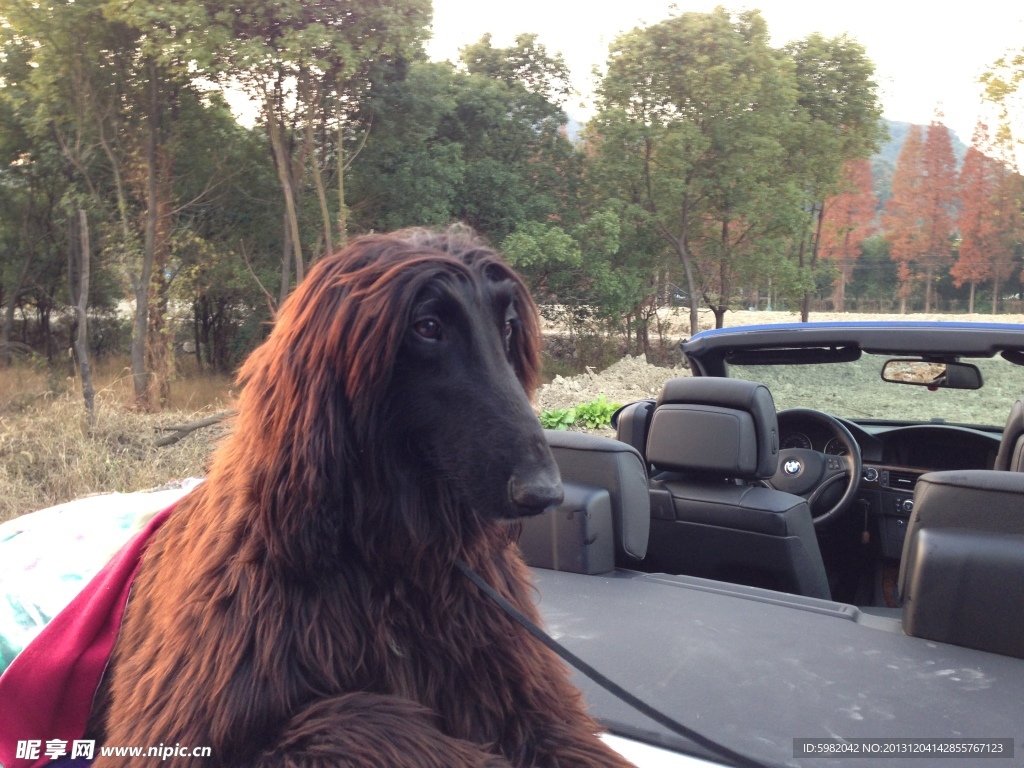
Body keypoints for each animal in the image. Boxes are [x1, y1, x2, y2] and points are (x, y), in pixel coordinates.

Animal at [90, 228, 630, 768]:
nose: (544, 492)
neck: (392, 565)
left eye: (509, 326)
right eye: (427, 326)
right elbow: (357, 720)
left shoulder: (522, 694)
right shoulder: (175, 730)